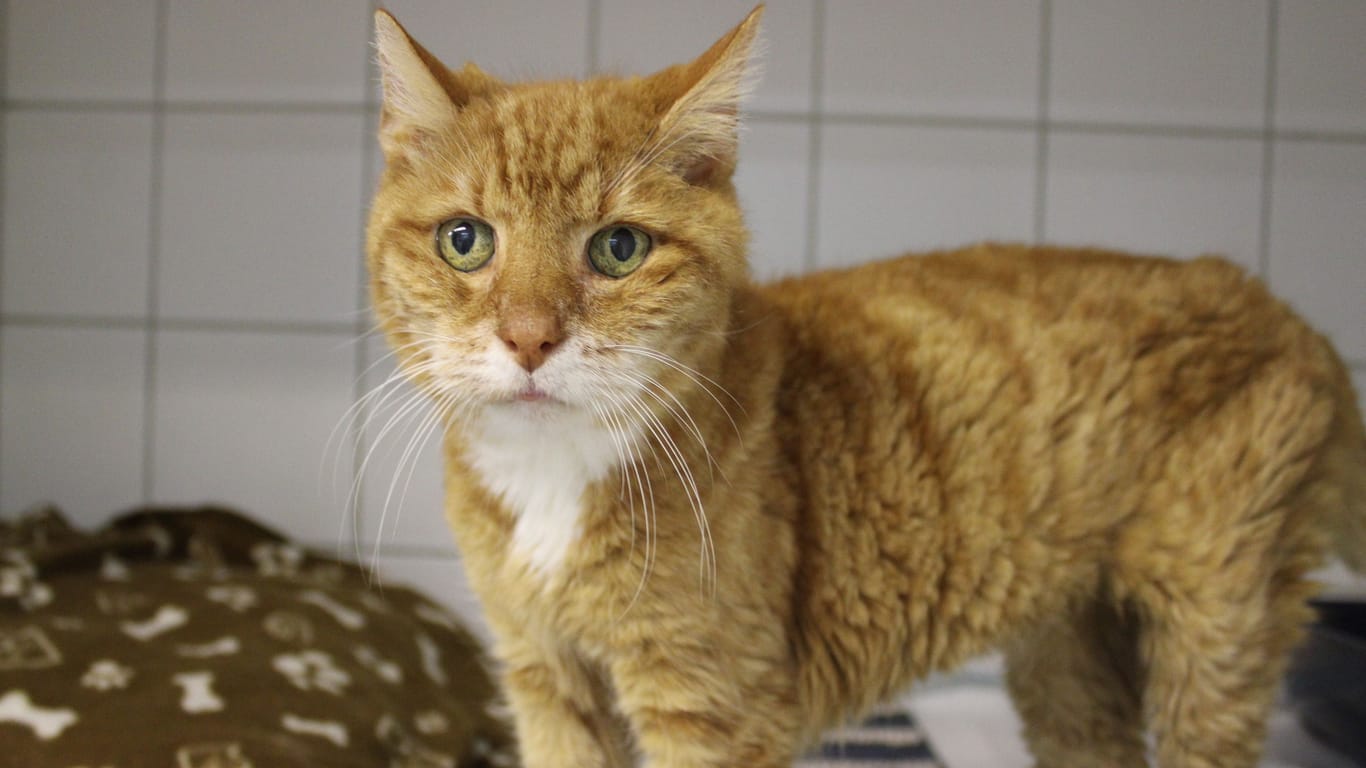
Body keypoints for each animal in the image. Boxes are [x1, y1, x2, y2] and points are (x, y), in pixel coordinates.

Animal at [368, 7, 1366, 765]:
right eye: (466, 240)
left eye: (618, 248)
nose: (529, 337)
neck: (555, 480)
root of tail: (1282, 307)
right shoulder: (547, 682)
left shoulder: (708, 703)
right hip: (1070, 657)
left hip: (1217, 634)